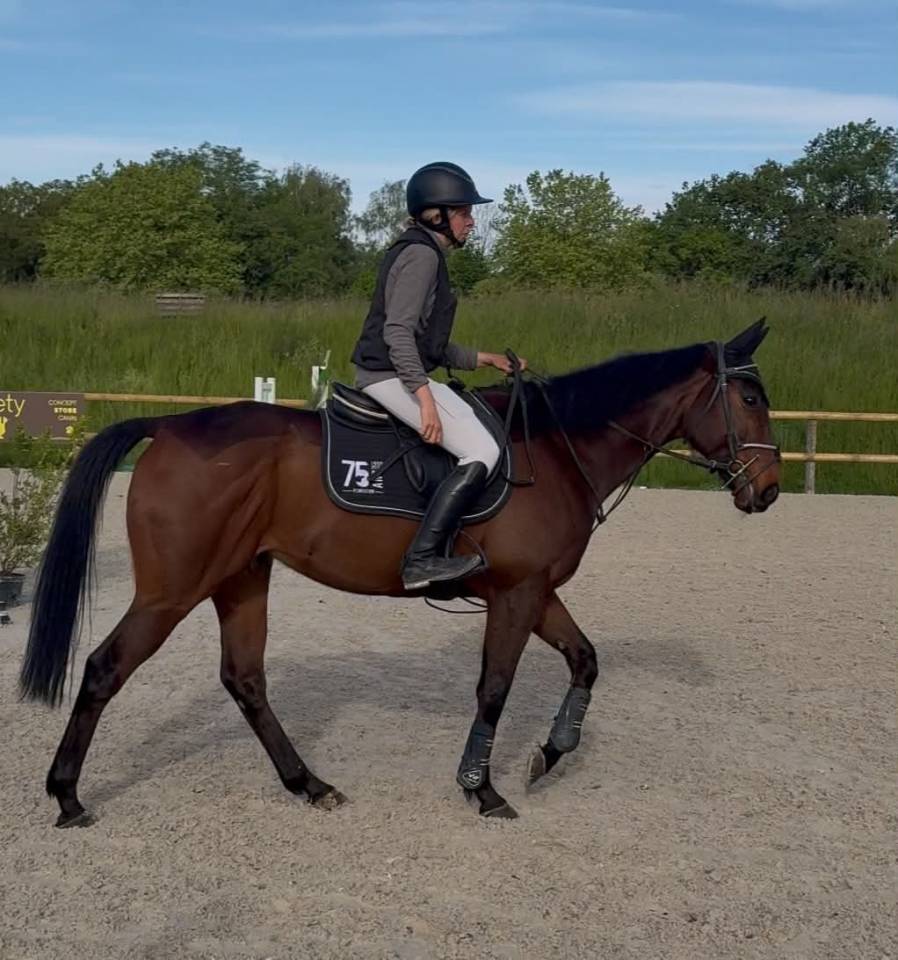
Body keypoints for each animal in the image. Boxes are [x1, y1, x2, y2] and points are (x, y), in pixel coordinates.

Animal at [19, 319, 780, 827]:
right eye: (749, 400)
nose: (768, 491)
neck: (556, 449)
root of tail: (170, 426)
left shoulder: (536, 593)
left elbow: (586, 660)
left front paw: (551, 752)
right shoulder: (516, 594)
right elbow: (494, 688)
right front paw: (482, 788)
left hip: (241, 578)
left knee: (245, 679)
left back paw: (309, 784)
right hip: (173, 590)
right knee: (106, 668)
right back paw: (68, 796)